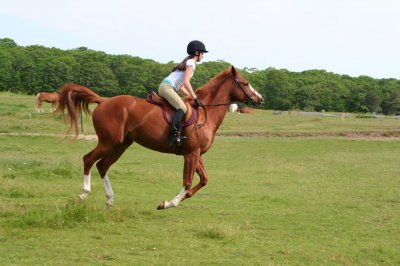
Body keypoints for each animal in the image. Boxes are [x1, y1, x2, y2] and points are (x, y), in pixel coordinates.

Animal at [55, 66, 262, 210]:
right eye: (244, 83)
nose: (260, 99)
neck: (206, 114)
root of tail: (104, 101)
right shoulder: (191, 154)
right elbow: (187, 182)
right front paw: (168, 203)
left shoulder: (196, 154)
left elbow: (203, 180)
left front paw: (175, 200)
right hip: (109, 142)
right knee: (88, 159)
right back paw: (84, 194)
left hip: (121, 144)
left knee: (102, 166)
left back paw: (110, 200)